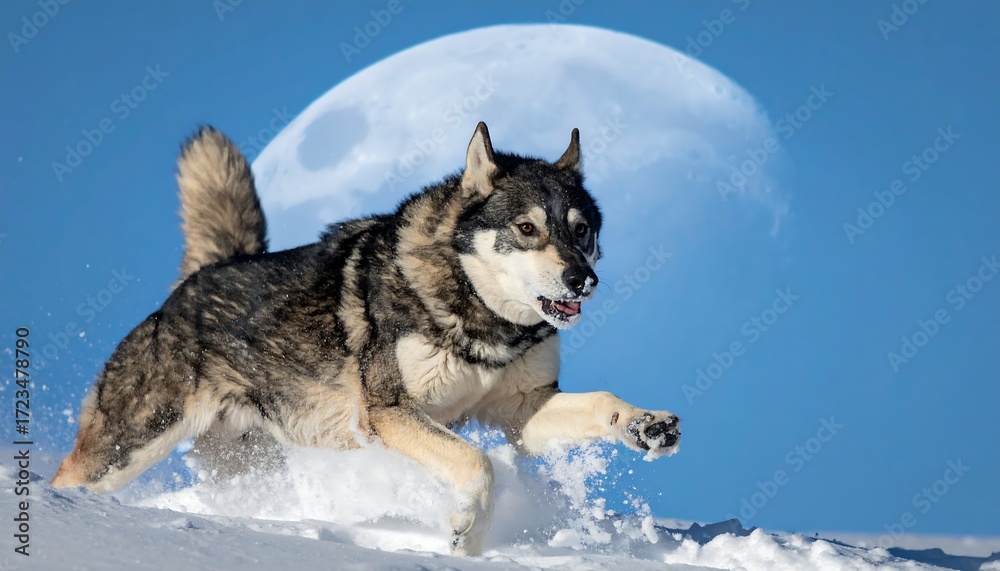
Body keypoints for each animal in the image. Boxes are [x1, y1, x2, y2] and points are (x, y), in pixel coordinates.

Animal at [51, 122, 681, 555]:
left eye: (582, 231)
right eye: (528, 228)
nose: (583, 279)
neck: (480, 315)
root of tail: (199, 279)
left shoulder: (522, 411)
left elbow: (601, 404)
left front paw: (647, 426)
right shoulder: (390, 413)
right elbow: (479, 464)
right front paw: (464, 536)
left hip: (248, 464)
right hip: (128, 447)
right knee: (68, 479)